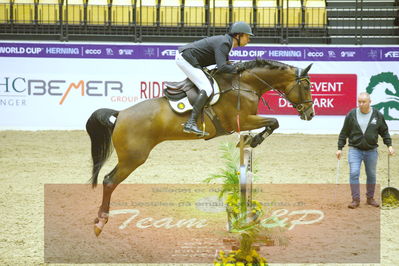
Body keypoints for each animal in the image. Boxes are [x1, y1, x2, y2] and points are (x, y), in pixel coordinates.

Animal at [86, 59, 316, 236]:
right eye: (306, 86)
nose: (310, 114)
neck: (243, 85)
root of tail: (120, 114)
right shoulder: (242, 121)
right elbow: (274, 121)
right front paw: (255, 140)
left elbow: (272, 123)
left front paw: (252, 140)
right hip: (133, 158)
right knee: (109, 181)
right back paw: (100, 222)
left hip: (130, 158)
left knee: (108, 180)